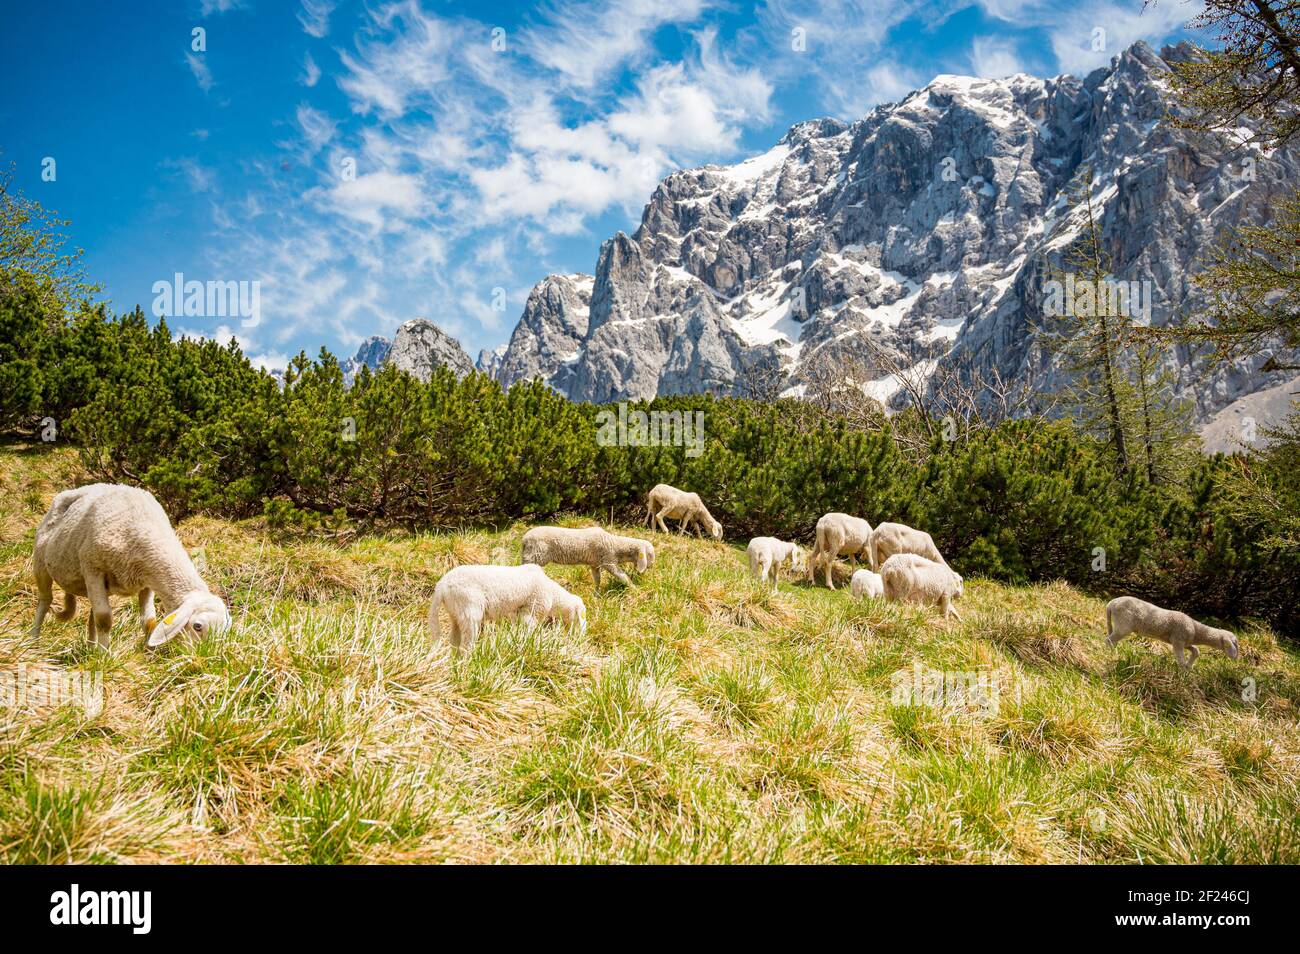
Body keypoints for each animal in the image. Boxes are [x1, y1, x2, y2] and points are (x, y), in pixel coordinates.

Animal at [31, 483, 231, 649]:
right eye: (198, 626)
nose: (205, 657)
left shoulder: (147, 582)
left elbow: (149, 621)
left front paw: (149, 653)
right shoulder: (92, 568)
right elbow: (104, 619)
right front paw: (104, 657)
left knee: (91, 615)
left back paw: (90, 649)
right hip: (41, 563)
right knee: (45, 600)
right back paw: (34, 641)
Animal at [428, 563, 586, 651]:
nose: (578, 637)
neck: (553, 595)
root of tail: (442, 585)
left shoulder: (517, 614)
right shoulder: (532, 611)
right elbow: (529, 629)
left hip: (456, 611)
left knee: (454, 641)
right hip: (469, 606)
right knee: (466, 644)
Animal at [521, 525, 654, 586]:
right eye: (650, 554)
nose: (652, 566)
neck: (615, 545)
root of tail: (524, 539)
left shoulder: (595, 564)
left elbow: (597, 580)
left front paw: (597, 595)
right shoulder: (609, 561)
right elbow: (623, 576)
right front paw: (633, 588)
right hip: (534, 556)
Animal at [1105, 596, 1239, 669]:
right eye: (1234, 644)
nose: (1236, 658)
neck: (1195, 629)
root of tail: (1111, 603)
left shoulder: (1182, 641)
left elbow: (1196, 650)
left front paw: (1189, 666)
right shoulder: (1178, 640)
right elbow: (1181, 660)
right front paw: (1184, 675)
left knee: (1111, 639)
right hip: (1124, 625)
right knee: (1108, 640)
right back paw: (1112, 654)